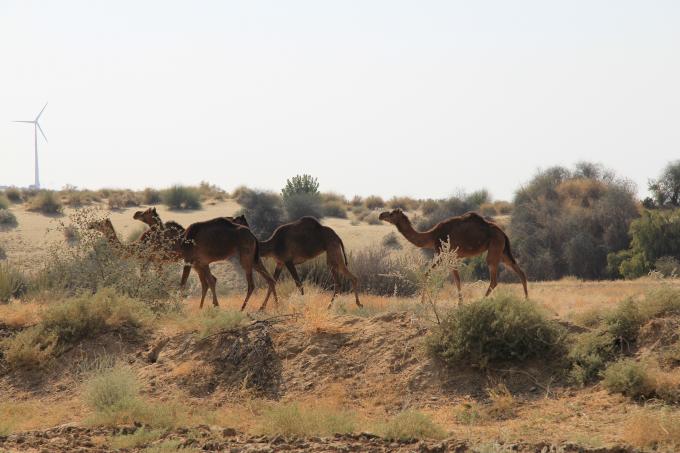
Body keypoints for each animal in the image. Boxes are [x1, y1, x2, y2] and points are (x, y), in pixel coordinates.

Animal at [380, 208, 528, 300]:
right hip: (502, 251)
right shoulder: (452, 257)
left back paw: (481, 301)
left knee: (494, 279)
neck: (431, 236)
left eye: (392, 214)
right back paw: (526, 300)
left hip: (494, 248)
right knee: (520, 272)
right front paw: (459, 303)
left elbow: (427, 274)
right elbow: (457, 280)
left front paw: (422, 302)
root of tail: (503, 233)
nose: (381, 215)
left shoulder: (444, 254)